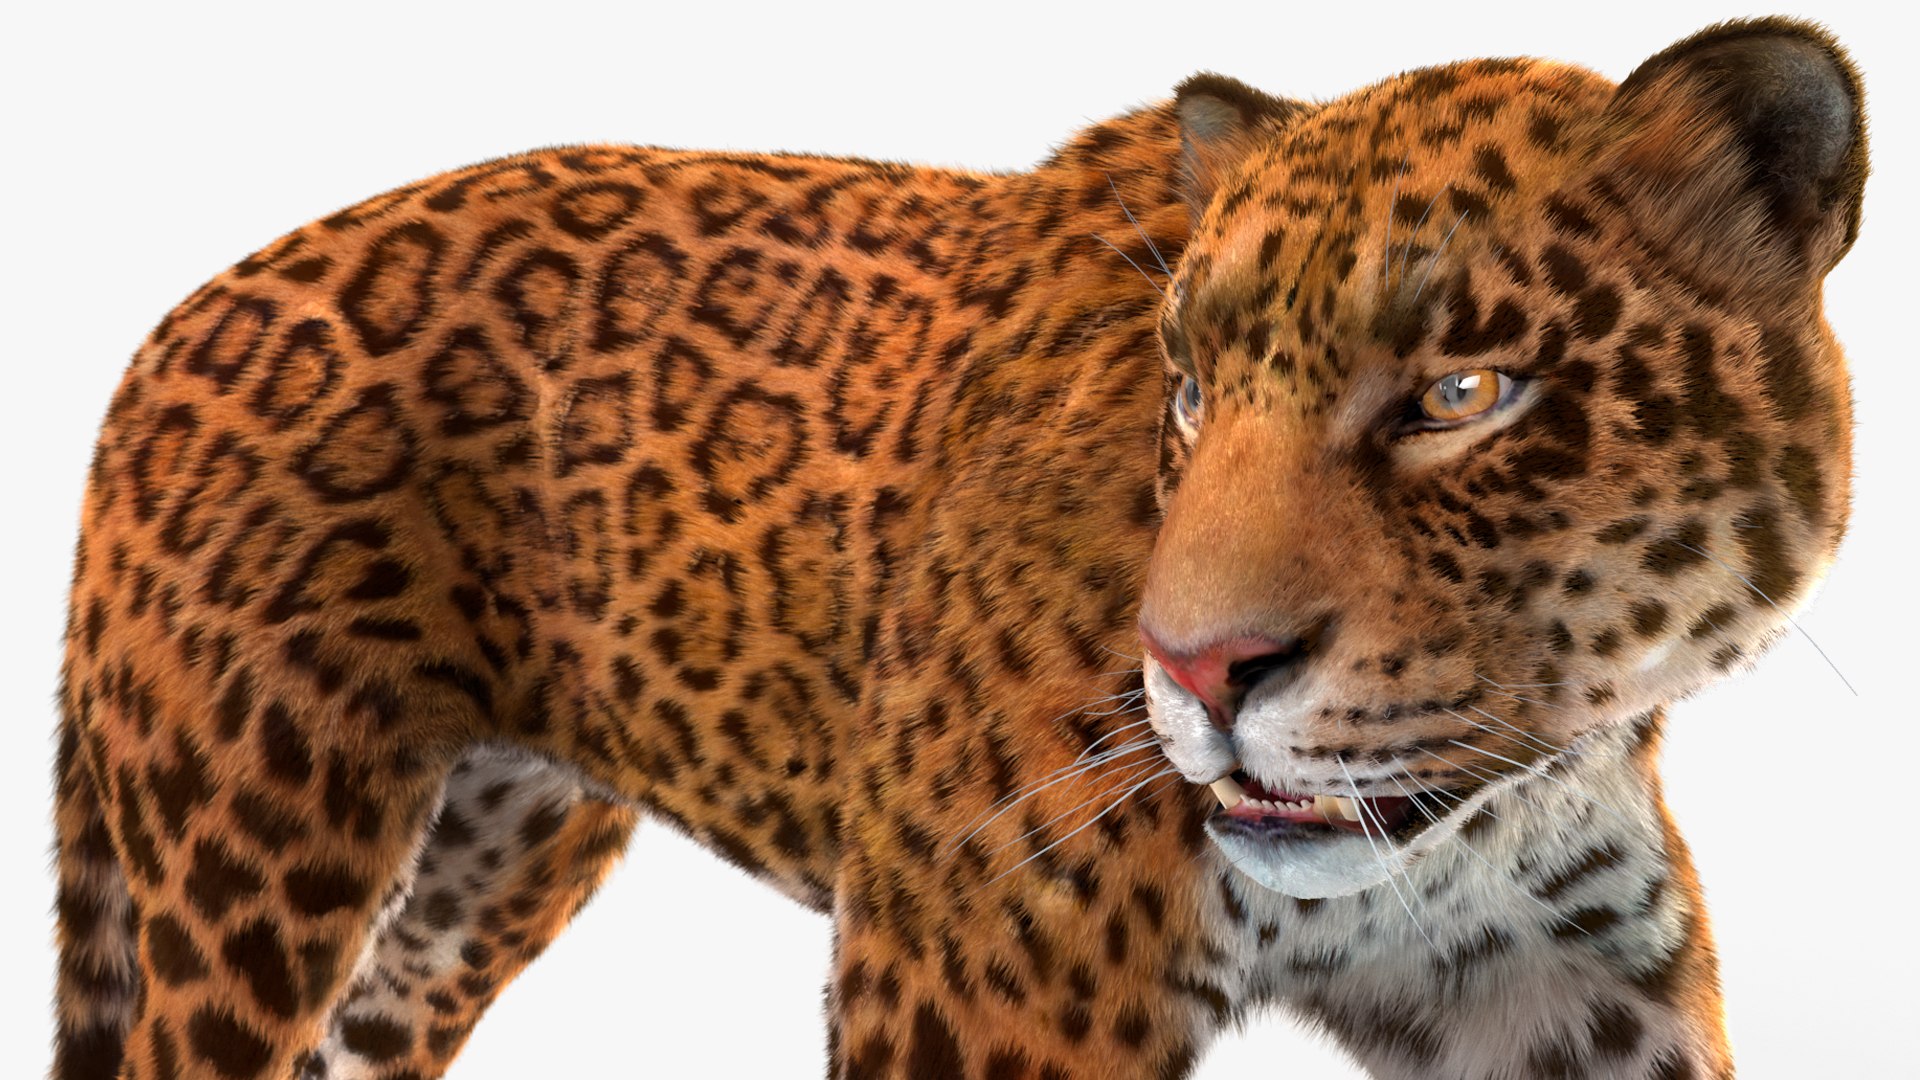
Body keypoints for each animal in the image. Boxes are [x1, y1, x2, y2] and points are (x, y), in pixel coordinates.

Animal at [50, 17, 1866, 1080]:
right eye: (1188, 389)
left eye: (1463, 393)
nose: (1200, 673)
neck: (1482, 817)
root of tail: (161, 334)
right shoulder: (982, 987)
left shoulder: (1561, 984)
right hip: (260, 846)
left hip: (481, 862)